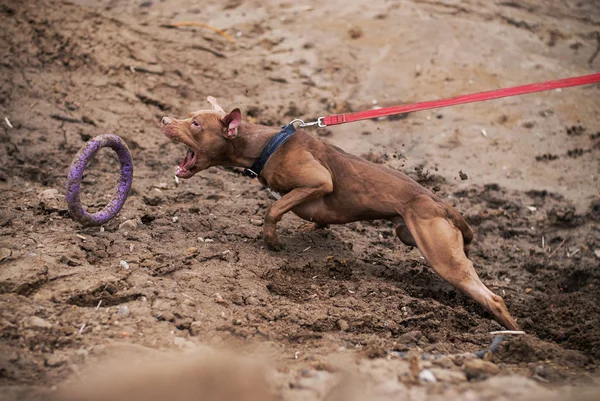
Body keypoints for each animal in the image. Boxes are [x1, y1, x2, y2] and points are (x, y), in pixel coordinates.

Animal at [161, 96, 520, 328]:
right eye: (188, 116)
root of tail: (442, 205)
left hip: (443, 257)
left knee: (492, 298)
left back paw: (516, 336)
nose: (164, 120)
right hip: (413, 235)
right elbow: (304, 216)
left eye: (195, 123)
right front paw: (308, 233)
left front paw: (272, 241)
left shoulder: (318, 182)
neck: (263, 145)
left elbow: (274, 208)